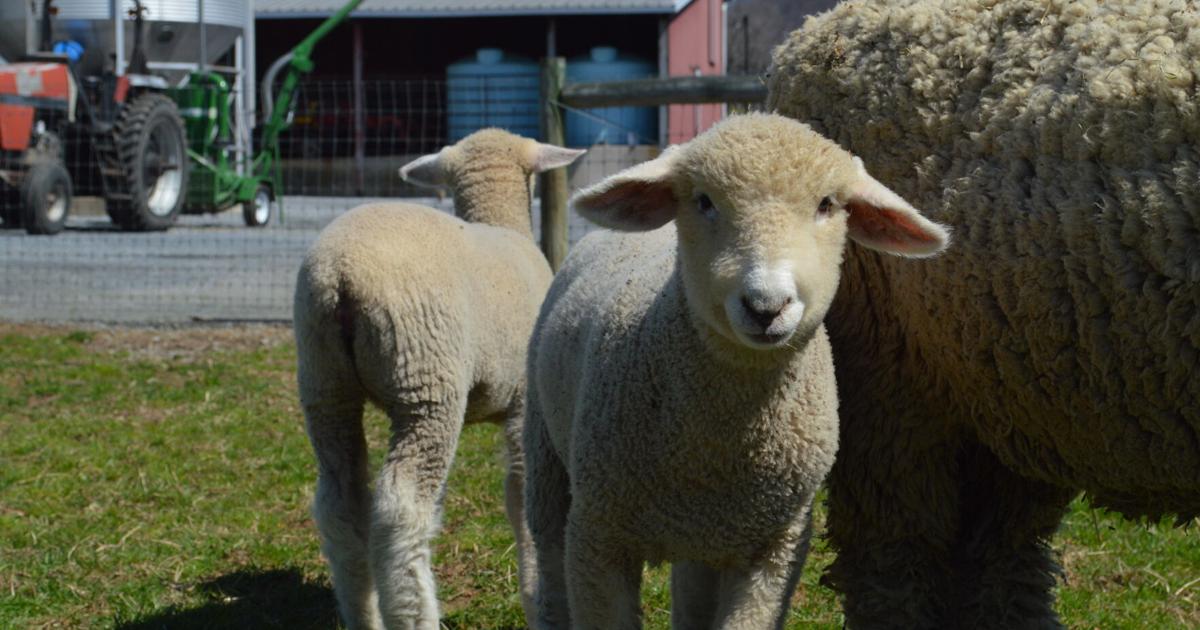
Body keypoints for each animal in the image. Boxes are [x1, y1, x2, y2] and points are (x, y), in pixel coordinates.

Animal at [295, 129, 585, 628]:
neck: (503, 224)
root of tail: (340, 275)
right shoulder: (525, 404)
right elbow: (520, 497)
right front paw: (535, 597)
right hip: (427, 384)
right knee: (402, 508)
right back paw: (417, 614)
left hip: (323, 382)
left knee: (339, 503)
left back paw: (363, 614)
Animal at [523, 114, 945, 628]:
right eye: (704, 201)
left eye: (827, 204)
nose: (766, 306)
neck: (717, 449)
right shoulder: (599, 538)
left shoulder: (774, 552)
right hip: (545, 453)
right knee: (547, 562)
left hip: (708, 539)